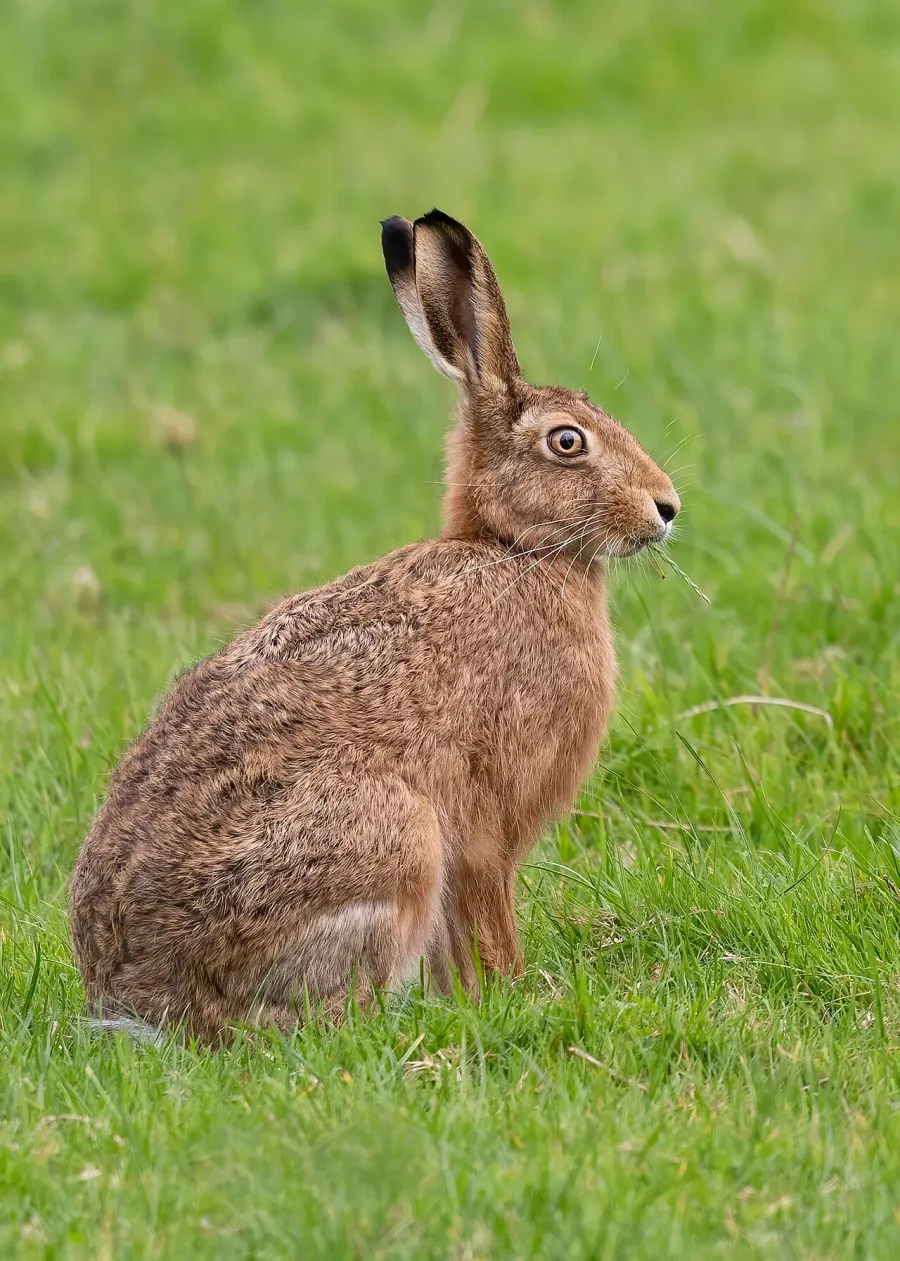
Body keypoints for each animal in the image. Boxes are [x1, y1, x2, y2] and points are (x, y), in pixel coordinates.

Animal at [70, 209, 680, 1043]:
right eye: (567, 441)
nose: (667, 505)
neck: (514, 548)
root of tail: (140, 999)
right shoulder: (485, 827)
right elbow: (489, 918)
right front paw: (516, 993)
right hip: (392, 839)